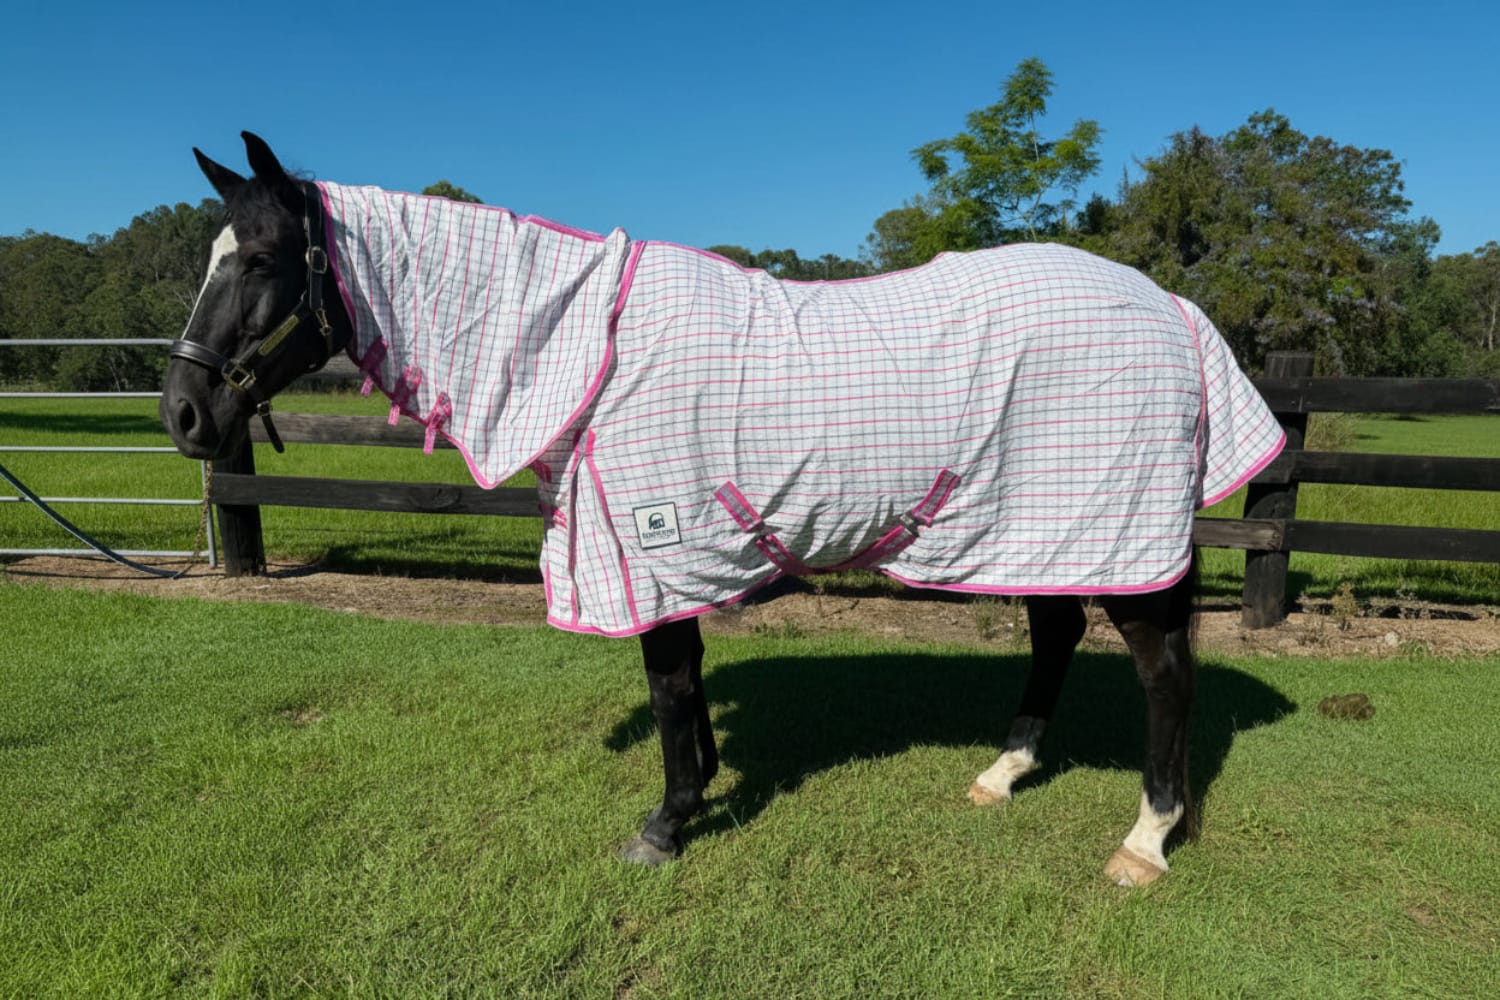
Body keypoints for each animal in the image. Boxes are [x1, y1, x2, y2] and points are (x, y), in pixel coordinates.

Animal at [160, 133, 1284, 886]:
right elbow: (688, 682)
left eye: (260, 259)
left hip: (1114, 531)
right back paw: (1002, 773)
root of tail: (1167, 305)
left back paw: (1145, 839)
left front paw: (665, 822)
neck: (590, 349)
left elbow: (667, 688)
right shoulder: (668, 554)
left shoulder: (652, 542)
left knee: (1164, 673)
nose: (183, 412)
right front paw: (696, 787)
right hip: (1041, 529)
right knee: (1055, 635)